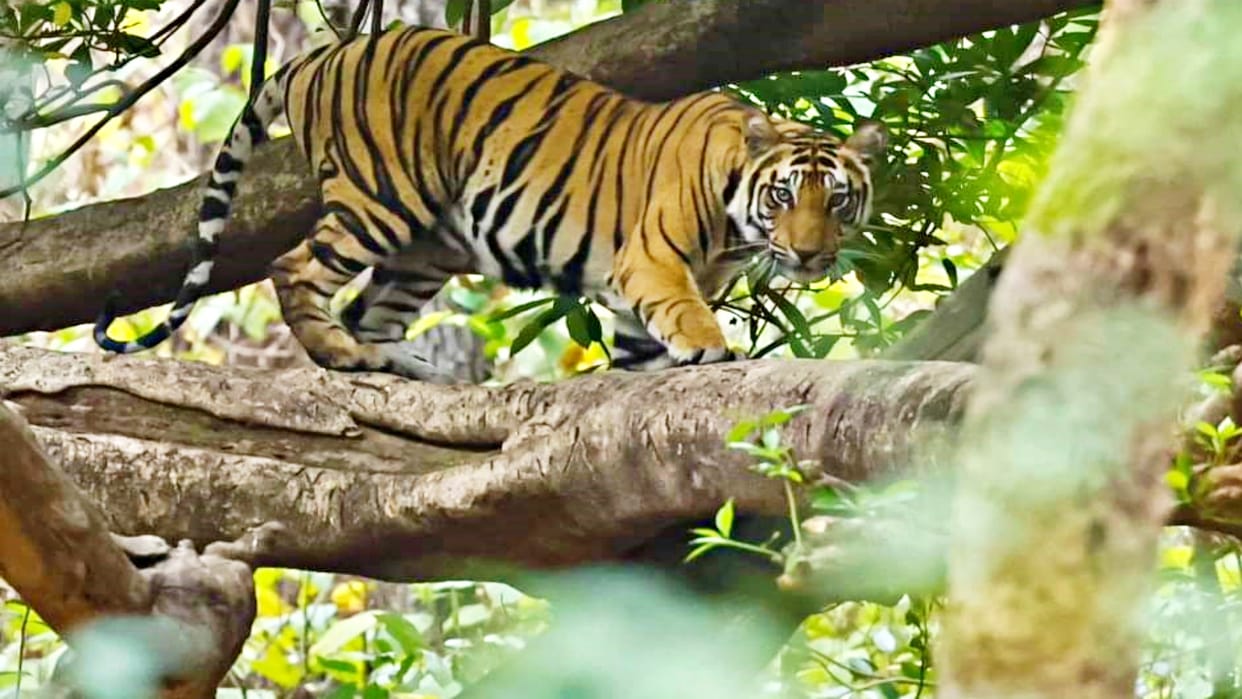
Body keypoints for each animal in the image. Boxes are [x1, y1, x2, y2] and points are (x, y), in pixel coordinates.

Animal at [94, 25, 886, 383]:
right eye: (784, 194)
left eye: (839, 202)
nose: (810, 253)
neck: (736, 224)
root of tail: (324, 53)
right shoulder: (652, 261)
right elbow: (685, 313)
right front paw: (712, 346)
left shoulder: (637, 296)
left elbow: (638, 348)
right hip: (382, 198)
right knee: (294, 268)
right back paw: (340, 354)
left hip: (427, 246)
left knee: (370, 308)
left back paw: (399, 363)